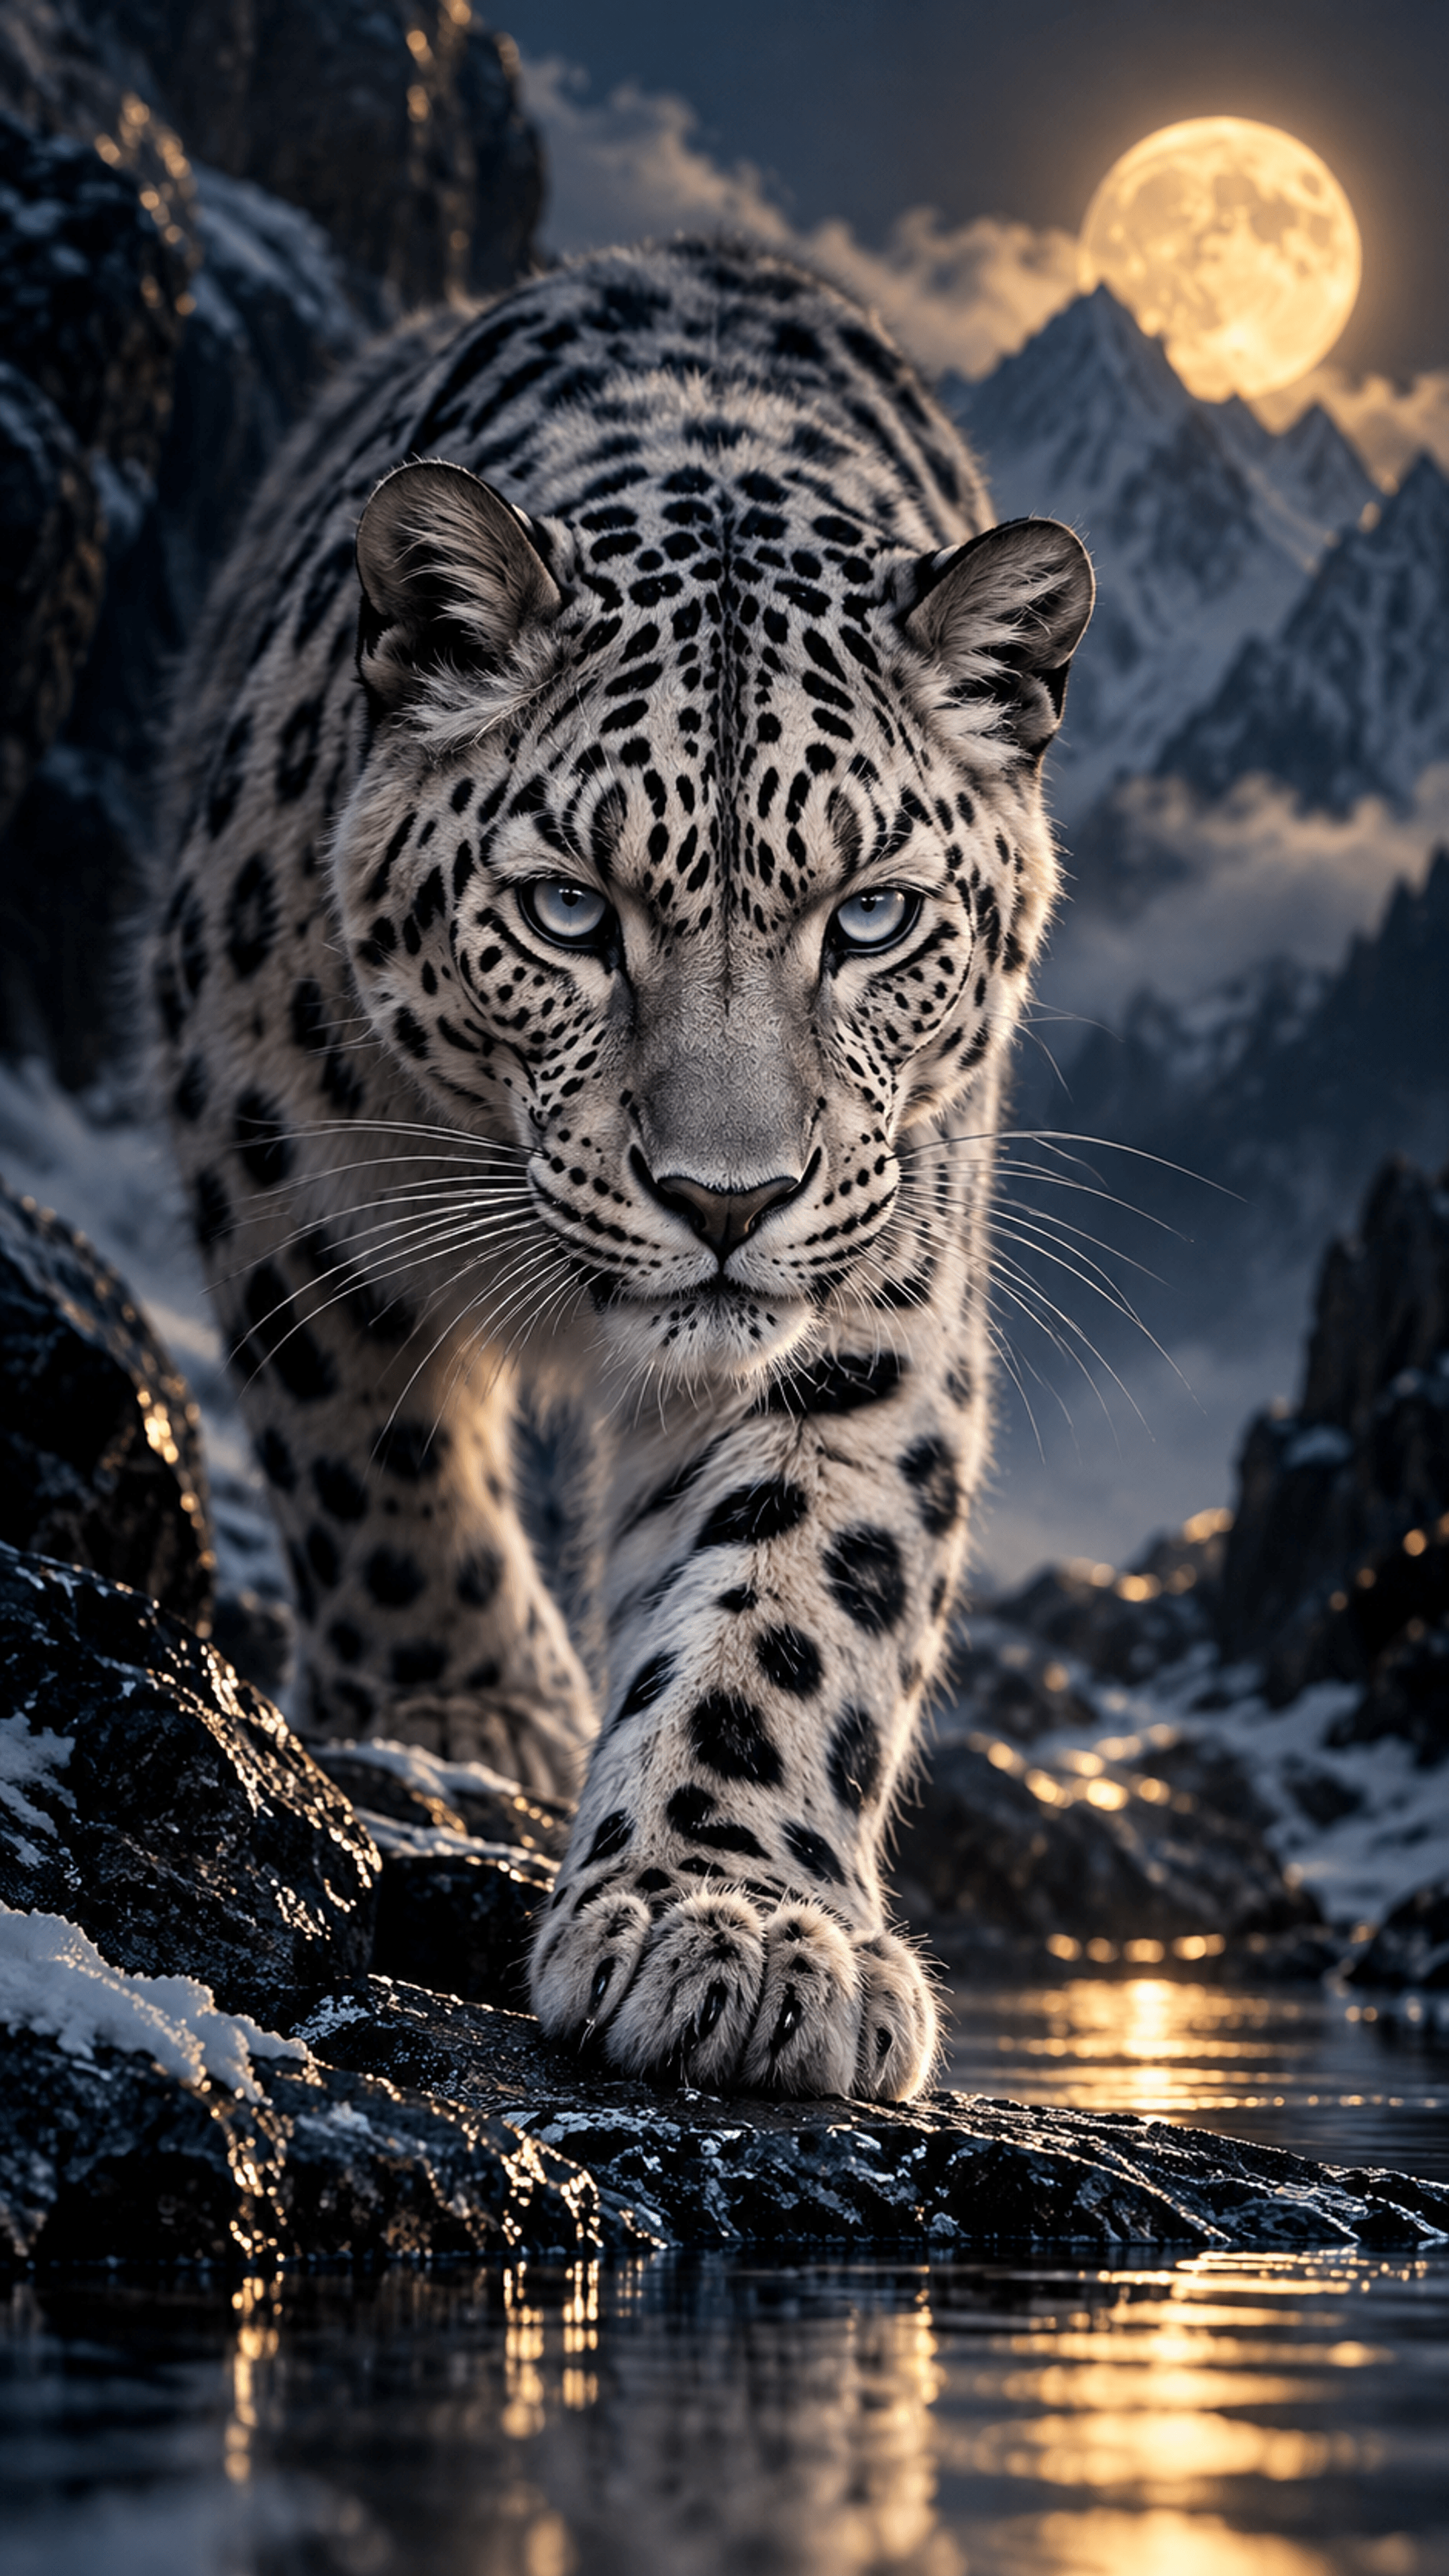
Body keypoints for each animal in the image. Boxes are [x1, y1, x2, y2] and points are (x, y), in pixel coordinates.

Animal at [148, 239, 1093, 2102]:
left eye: (871, 916)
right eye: (571, 911)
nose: (726, 1199)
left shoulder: (872, 1290)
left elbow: (791, 1598)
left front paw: (728, 1928)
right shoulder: (274, 1144)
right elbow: (374, 1458)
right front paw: (460, 1713)